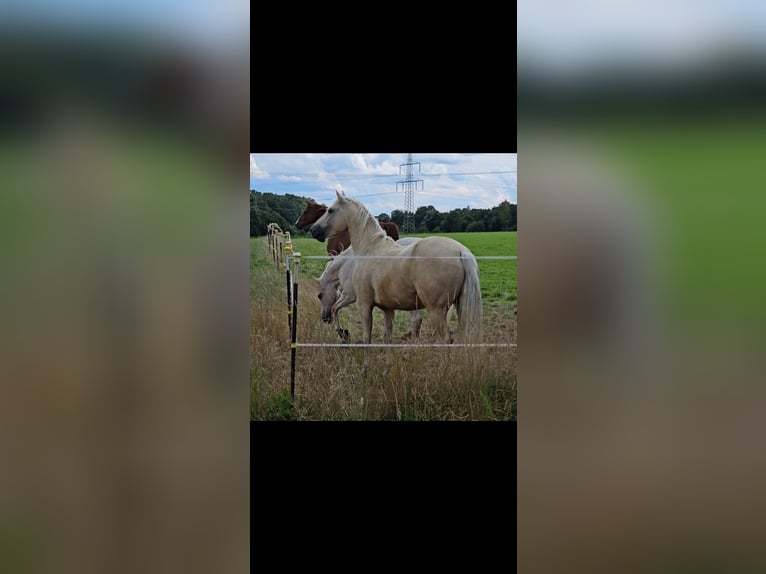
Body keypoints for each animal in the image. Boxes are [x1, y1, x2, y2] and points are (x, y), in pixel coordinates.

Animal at [309, 191, 482, 344]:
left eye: (330, 210)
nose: (313, 230)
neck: (369, 249)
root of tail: (461, 251)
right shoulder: (388, 309)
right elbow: (387, 339)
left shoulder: (362, 303)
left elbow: (365, 336)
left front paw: (344, 334)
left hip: (436, 310)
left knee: (444, 338)